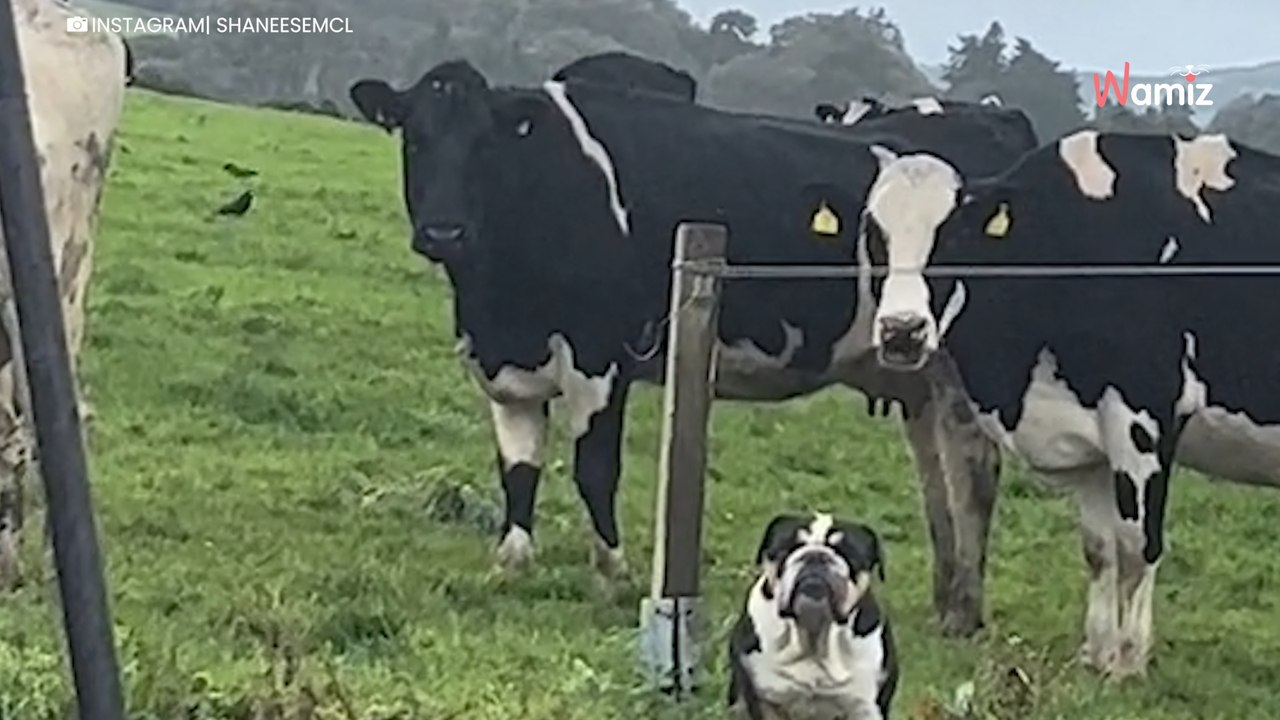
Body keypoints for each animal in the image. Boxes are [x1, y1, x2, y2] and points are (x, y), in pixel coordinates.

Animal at [346, 58, 1035, 634]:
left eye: (484, 145)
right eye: (414, 139)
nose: (444, 231)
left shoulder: (600, 358)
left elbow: (596, 469)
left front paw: (614, 574)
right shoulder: (506, 367)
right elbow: (518, 471)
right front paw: (511, 564)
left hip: (956, 364)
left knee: (973, 469)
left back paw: (965, 613)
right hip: (912, 366)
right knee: (935, 474)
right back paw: (946, 597)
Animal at [813, 128, 1280, 679]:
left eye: (952, 235)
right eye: (874, 233)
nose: (902, 332)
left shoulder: (1145, 417)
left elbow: (1136, 548)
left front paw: (1127, 665)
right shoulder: (1089, 437)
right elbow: (1099, 549)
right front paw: (1096, 658)